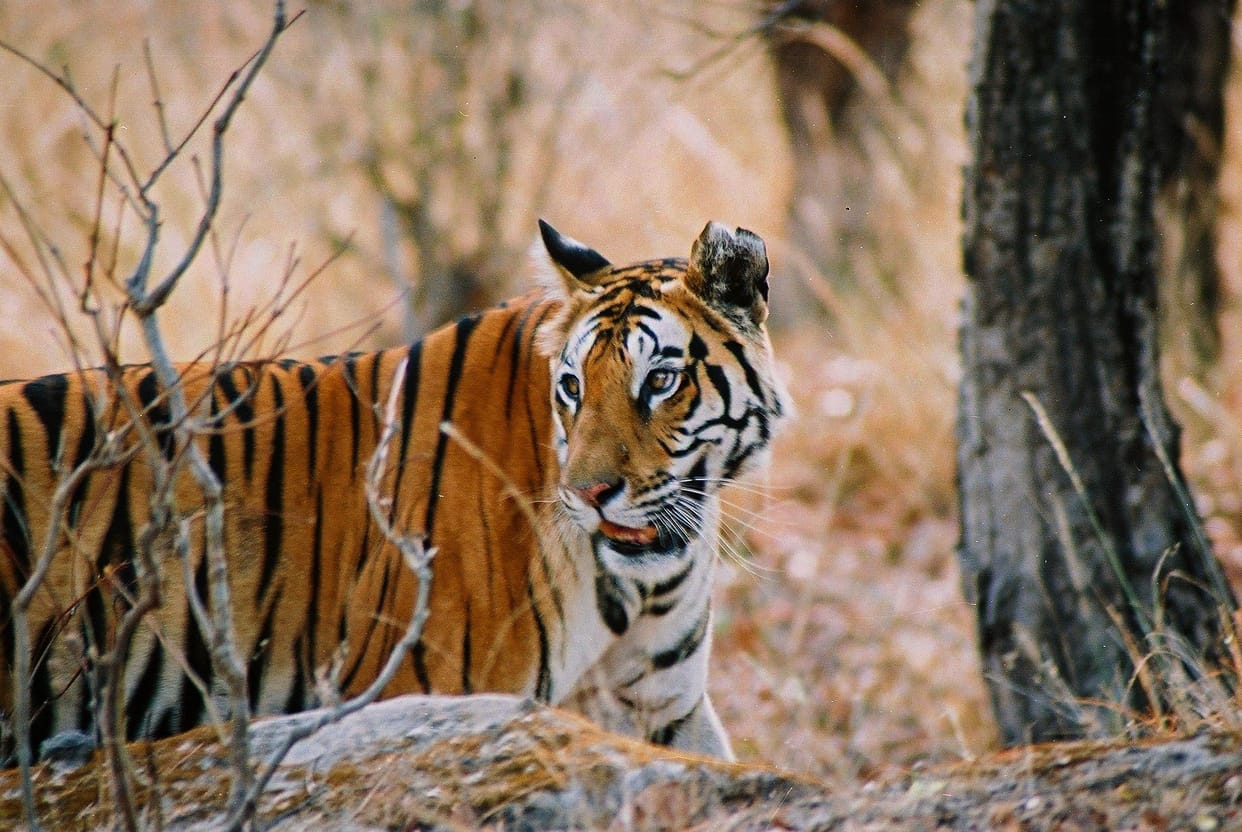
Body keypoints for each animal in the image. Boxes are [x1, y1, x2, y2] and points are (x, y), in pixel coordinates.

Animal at [0, 220, 786, 764]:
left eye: (661, 380)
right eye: (572, 387)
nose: (590, 494)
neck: (644, 583)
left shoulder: (667, 709)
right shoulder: (424, 690)